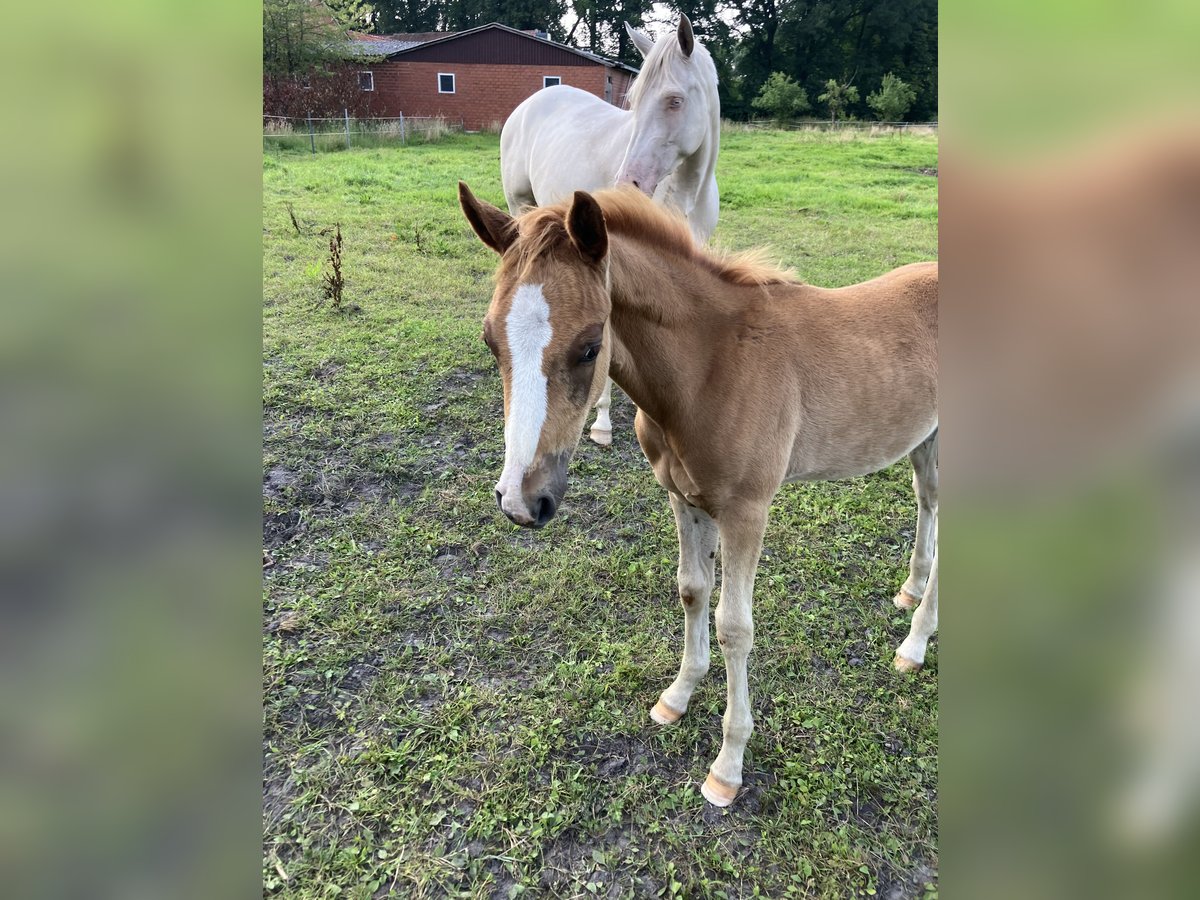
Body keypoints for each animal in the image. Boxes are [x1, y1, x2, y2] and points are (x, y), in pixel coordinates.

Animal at [499, 14, 715, 448]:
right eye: (634, 102)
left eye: (674, 100)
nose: (627, 184)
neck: (685, 194)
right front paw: (601, 421)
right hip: (519, 206)